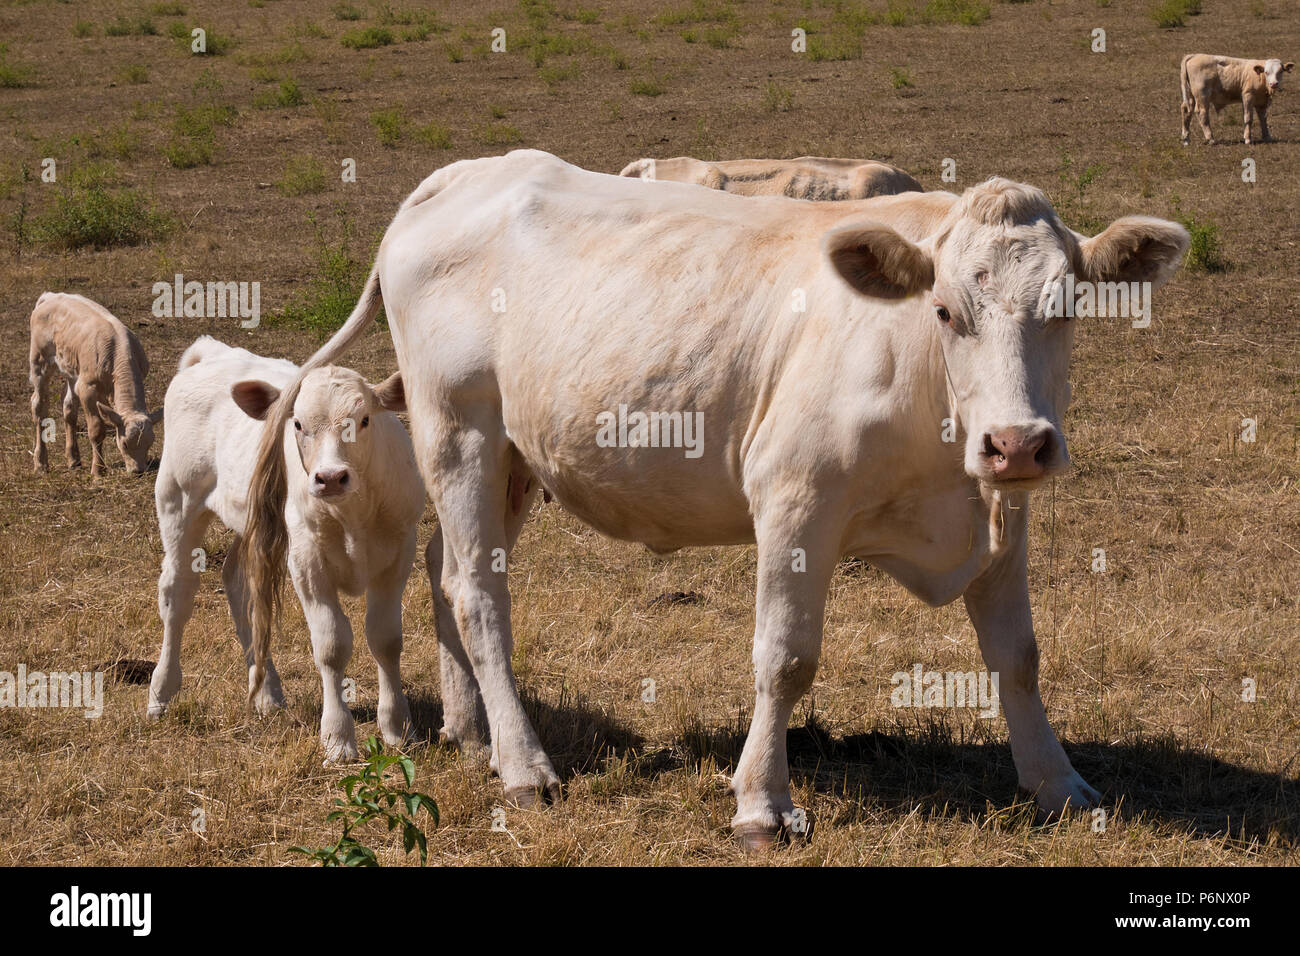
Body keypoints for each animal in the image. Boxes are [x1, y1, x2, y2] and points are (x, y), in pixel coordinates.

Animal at [28, 292, 163, 476]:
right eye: (124, 444)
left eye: (150, 443)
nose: (138, 471)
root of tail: (51, 296)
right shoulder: (88, 388)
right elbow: (97, 430)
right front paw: (98, 471)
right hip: (39, 360)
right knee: (39, 407)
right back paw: (40, 463)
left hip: (73, 370)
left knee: (68, 407)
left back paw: (73, 459)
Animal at [147, 337, 425, 763]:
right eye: (297, 424)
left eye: (364, 420)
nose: (330, 477)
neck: (353, 517)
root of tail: (211, 353)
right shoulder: (306, 561)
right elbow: (331, 645)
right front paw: (338, 737)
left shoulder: (398, 554)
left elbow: (386, 639)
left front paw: (397, 726)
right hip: (178, 500)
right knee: (177, 595)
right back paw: (162, 691)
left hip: (251, 519)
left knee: (239, 583)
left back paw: (267, 692)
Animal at [243, 150, 1189, 847]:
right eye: (948, 311)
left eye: (1066, 307)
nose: (1017, 442)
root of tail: (458, 176)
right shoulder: (796, 500)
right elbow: (786, 657)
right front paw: (762, 802)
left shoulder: (1001, 516)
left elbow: (1018, 657)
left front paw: (1059, 782)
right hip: (457, 429)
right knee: (478, 594)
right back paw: (523, 764)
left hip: (510, 455)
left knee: (448, 577)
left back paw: (474, 734)